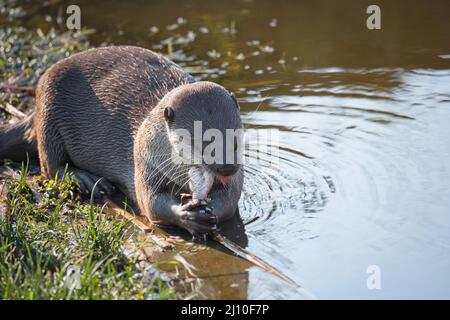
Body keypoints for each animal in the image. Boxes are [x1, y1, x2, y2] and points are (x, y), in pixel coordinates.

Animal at [0, 45, 244, 235]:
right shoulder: (144, 159)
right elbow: (150, 203)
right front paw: (186, 216)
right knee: (50, 165)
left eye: (235, 142)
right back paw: (86, 180)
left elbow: (230, 199)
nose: (227, 168)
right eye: (202, 145)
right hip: (49, 108)